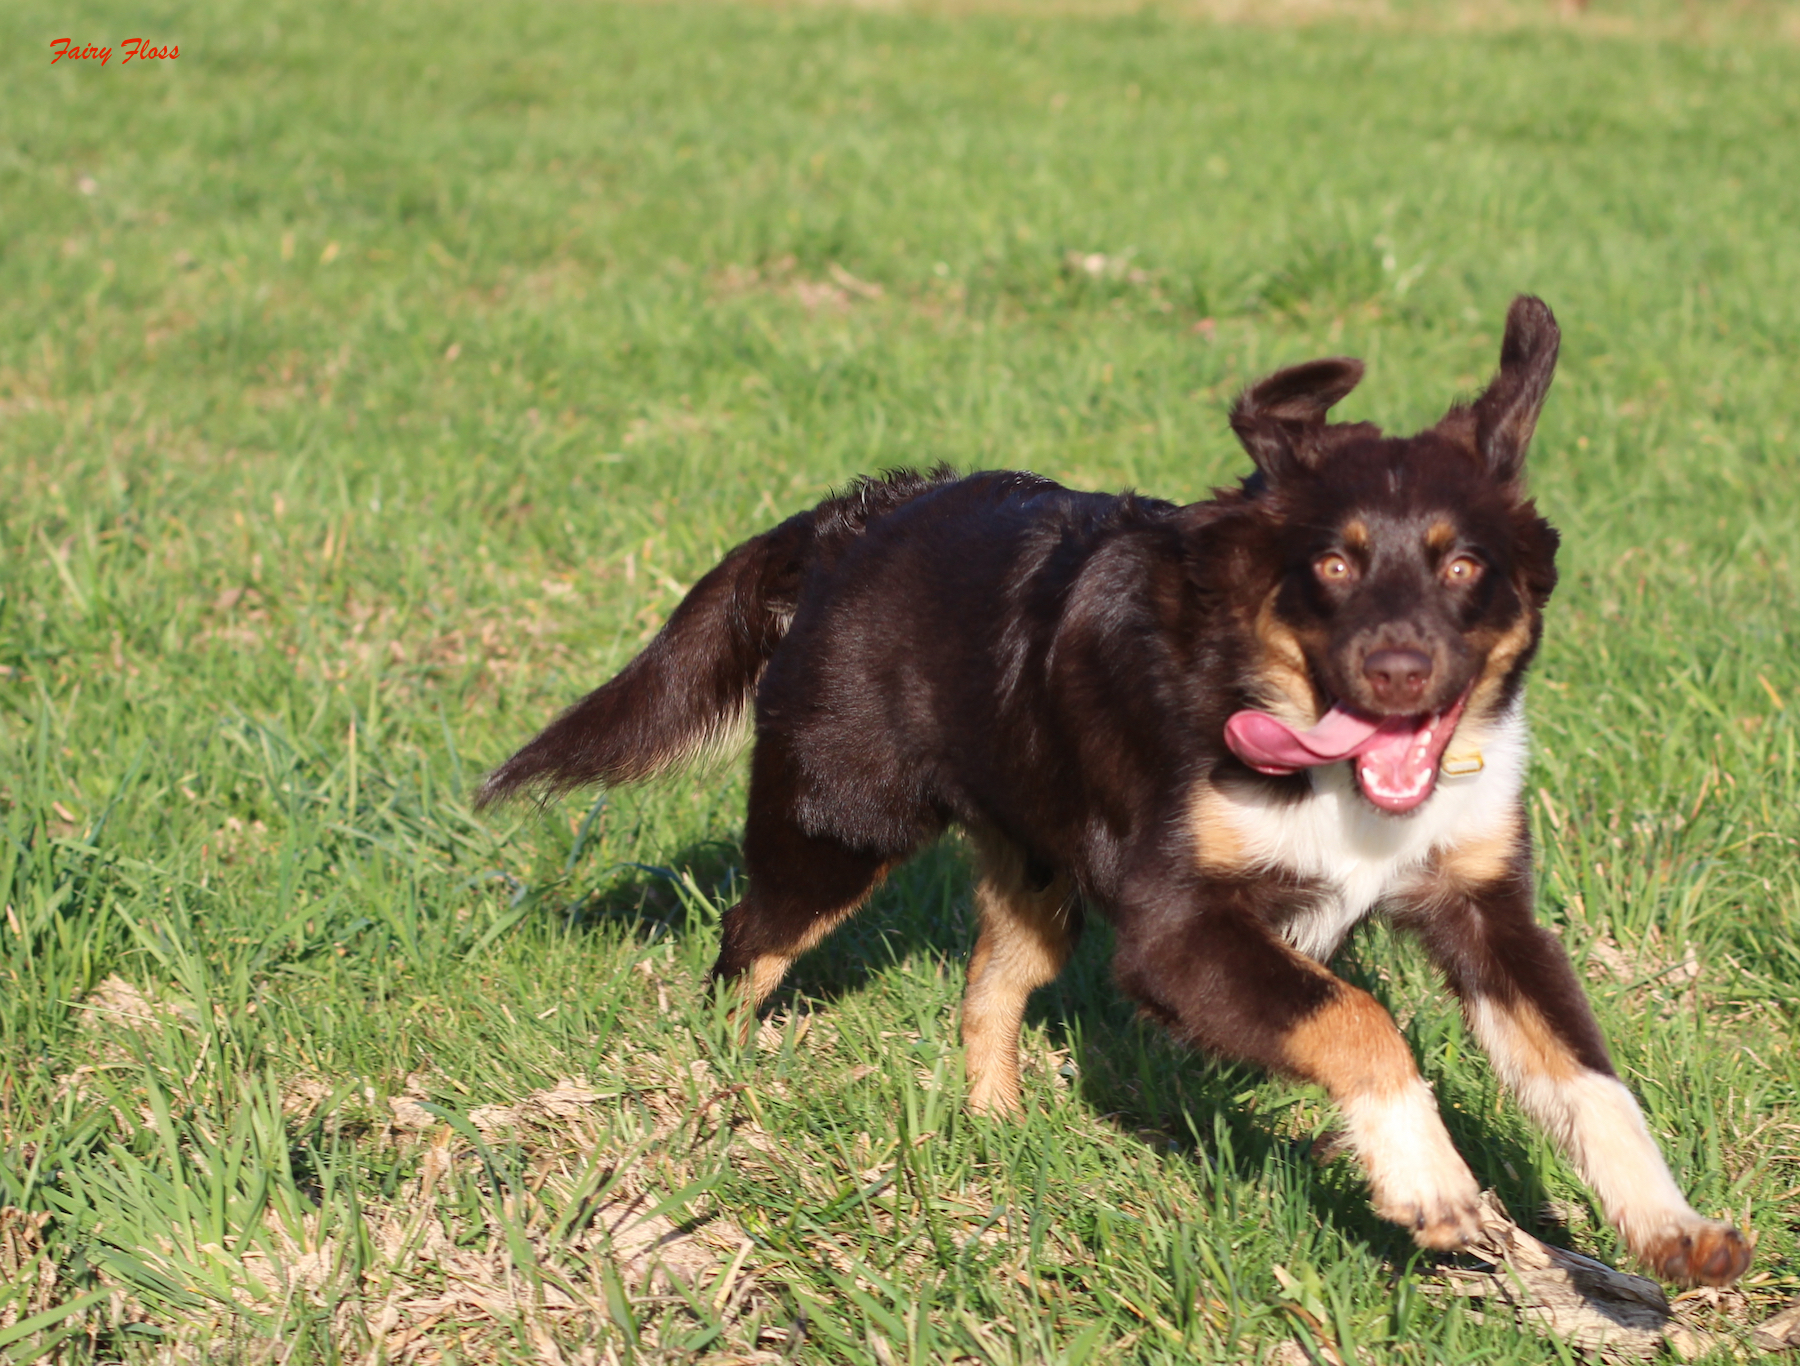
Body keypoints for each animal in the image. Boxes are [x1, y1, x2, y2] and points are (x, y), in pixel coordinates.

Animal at [478, 293, 1742, 1288]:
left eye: (1464, 562)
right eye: (1332, 562)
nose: (1398, 669)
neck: (1326, 764)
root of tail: (864, 515)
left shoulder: (1481, 905)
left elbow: (1584, 1071)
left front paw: (1671, 1225)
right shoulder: (1176, 929)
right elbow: (1359, 1018)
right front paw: (1434, 1187)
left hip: (1037, 868)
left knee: (988, 989)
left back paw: (996, 1131)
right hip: (834, 825)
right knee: (750, 942)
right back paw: (721, 1084)